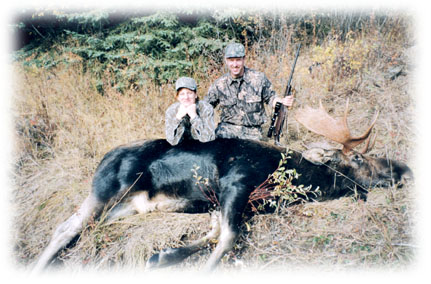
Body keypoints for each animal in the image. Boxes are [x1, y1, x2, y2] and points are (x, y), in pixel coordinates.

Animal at [33, 101, 412, 272]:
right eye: (359, 158)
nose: (404, 169)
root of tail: (103, 158)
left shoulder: (218, 202)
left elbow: (213, 234)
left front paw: (162, 256)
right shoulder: (236, 182)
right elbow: (229, 238)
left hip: (123, 209)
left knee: (82, 227)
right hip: (106, 189)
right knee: (65, 227)